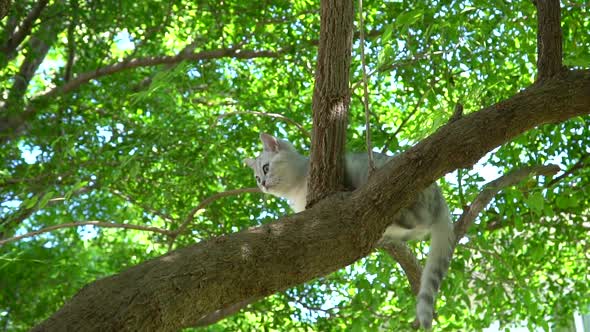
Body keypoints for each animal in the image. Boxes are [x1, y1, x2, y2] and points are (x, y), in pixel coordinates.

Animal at [245, 132, 458, 330]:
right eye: (256, 178)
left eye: (265, 168)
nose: (262, 184)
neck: (296, 189)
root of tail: (441, 201)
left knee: (419, 217)